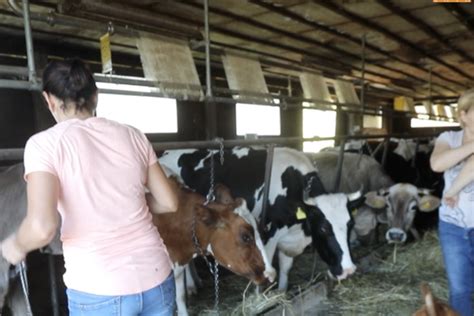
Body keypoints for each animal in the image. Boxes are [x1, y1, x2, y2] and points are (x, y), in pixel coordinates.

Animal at [159, 147, 362, 290]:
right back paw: (191, 286)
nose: (349, 270)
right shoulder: (268, 235)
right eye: (324, 228)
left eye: (351, 224)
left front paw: (282, 292)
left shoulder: (289, 239)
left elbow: (286, 269)